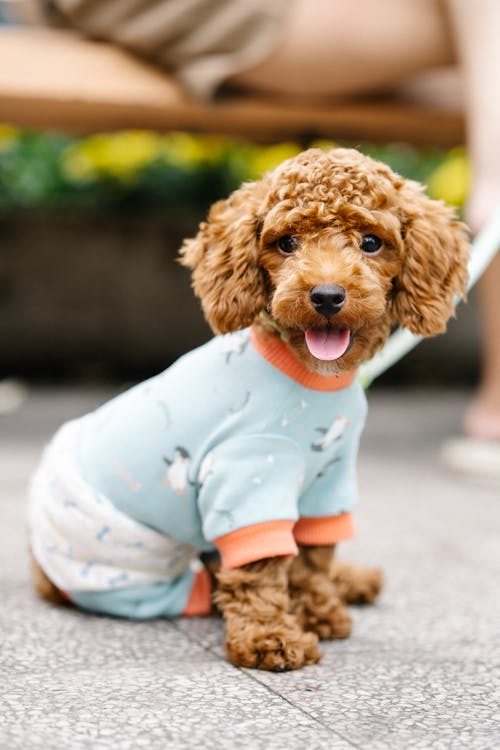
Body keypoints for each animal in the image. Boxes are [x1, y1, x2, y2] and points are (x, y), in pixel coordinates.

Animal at [30, 148, 468, 676]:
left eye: (370, 242)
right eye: (286, 243)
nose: (326, 295)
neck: (311, 377)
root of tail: (39, 565)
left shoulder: (328, 481)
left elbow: (313, 555)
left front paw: (318, 611)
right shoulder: (248, 474)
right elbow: (259, 569)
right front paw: (270, 638)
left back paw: (351, 580)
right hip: (124, 566)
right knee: (204, 580)